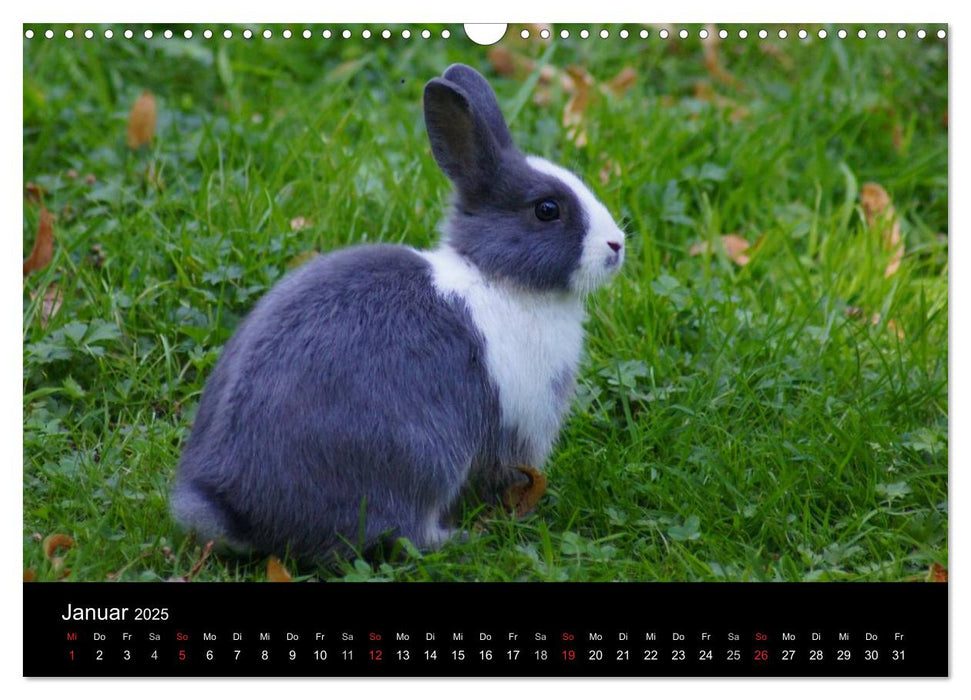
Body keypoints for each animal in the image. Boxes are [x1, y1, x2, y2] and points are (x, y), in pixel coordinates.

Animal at [171, 63, 628, 560]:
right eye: (547, 210)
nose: (616, 245)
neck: (496, 276)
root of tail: (238, 509)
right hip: (421, 460)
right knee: (407, 533)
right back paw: (462, 537)